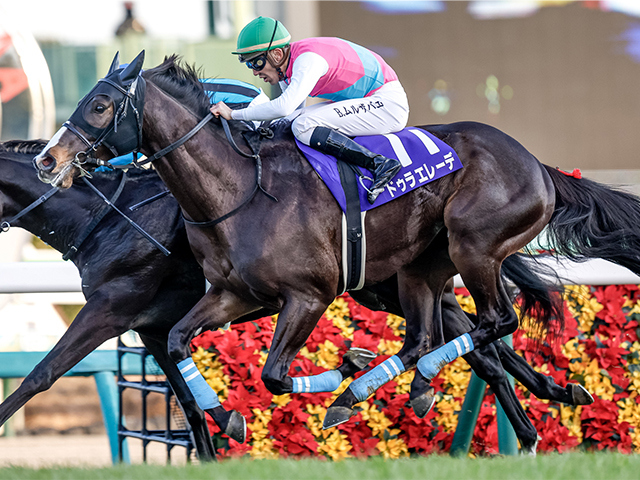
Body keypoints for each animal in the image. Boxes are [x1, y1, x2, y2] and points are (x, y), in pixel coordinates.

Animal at [35, 52, 632, 442]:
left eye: (101, 105)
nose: (47, 158)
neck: (237, 189)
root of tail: (538, 165)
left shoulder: (309, 295)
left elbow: (273, 375)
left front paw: (341, 371)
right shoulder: (231, 293)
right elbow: (182, 342)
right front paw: (231, 416)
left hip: (475, 248)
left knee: (495, 322)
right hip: (420, 269)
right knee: (427, 338)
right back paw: (410, 387)